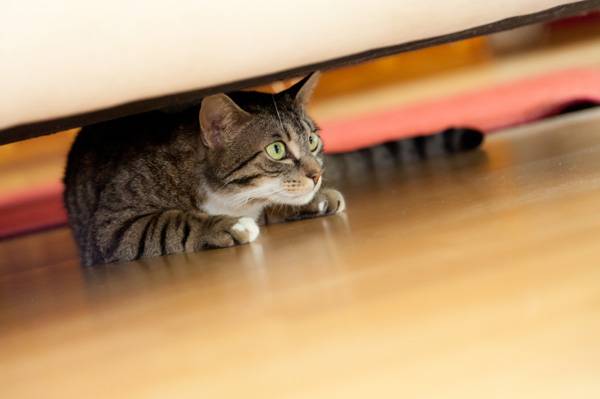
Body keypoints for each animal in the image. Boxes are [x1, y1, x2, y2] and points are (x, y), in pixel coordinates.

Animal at [63, 73, 482, 268]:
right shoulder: (112, 227)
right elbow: (172, 221)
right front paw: (229, 226)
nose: (316, 174)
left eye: (312, 141)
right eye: (277, 149)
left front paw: (311, 201)